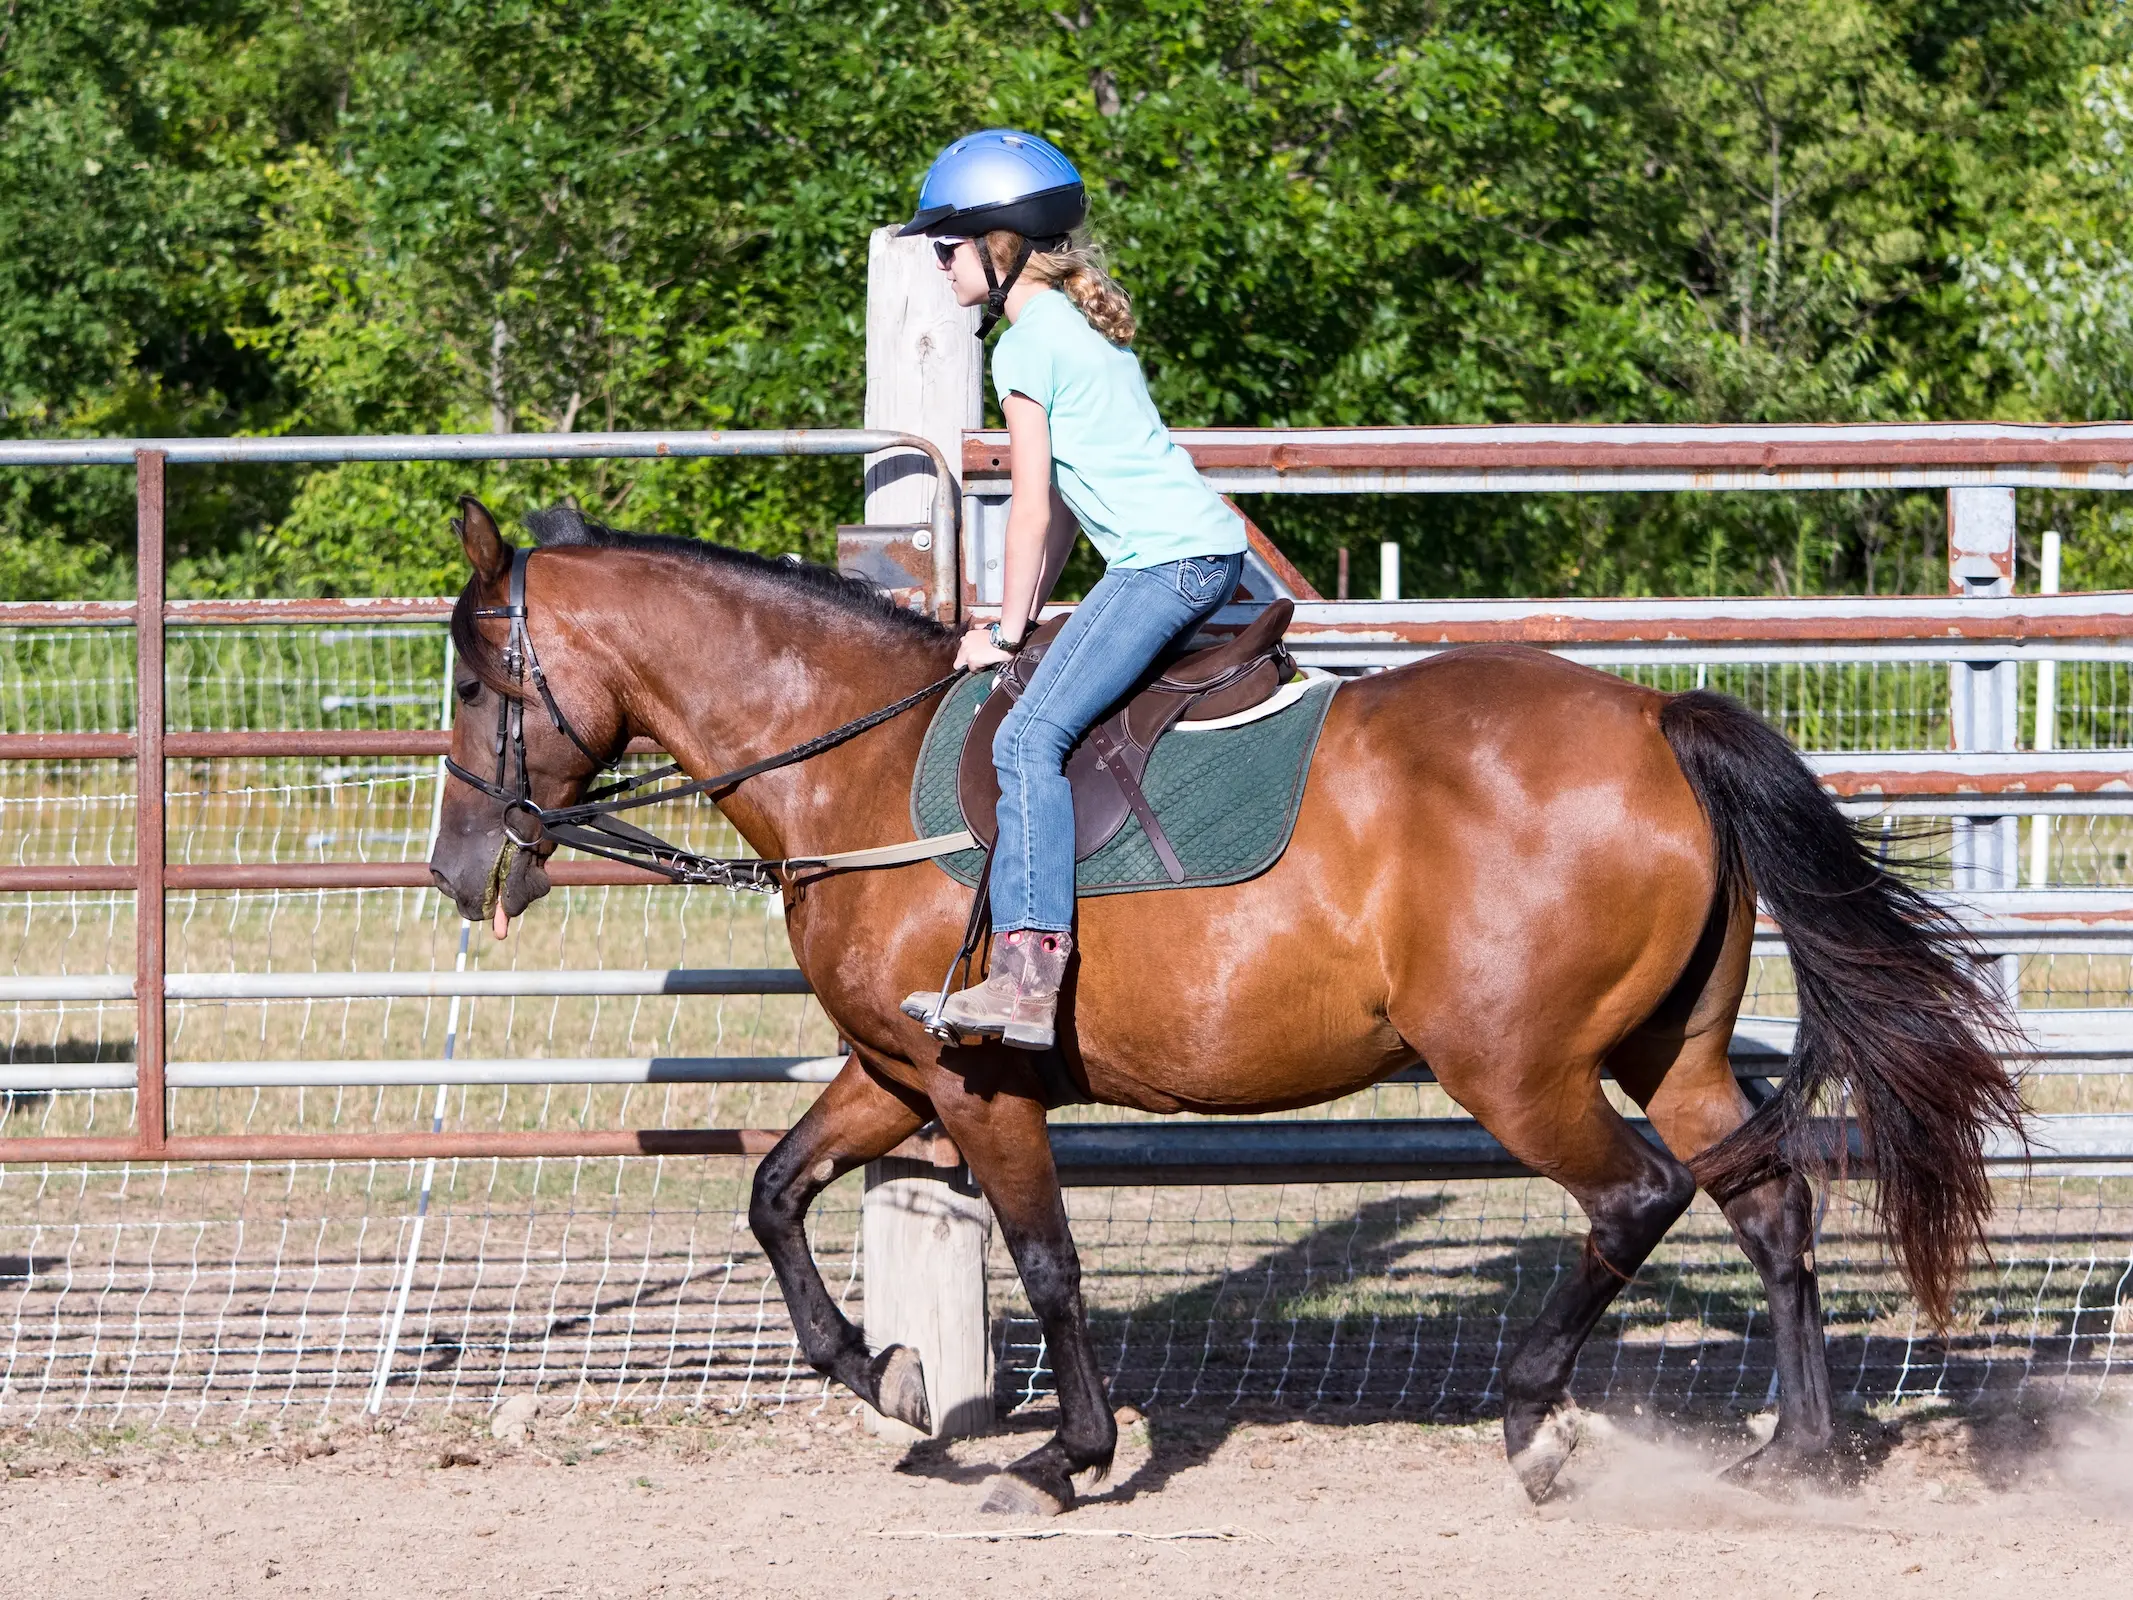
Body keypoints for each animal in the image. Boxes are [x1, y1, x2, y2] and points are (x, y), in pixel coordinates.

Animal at [428, 501, 2013, 1518]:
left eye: (480, 677)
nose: (460, 865)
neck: (856, 766)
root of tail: (1653, 720)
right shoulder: (893, 1071)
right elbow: (771, 1192)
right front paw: (883, 1374)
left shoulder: (978, 1089)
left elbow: (1048, 1263)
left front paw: (1065, 1456)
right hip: (1666, 1045)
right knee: (1771, 1206)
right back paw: (1794, 1452)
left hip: (1519, 1070)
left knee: (1637, 1198)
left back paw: (1534, 1420)